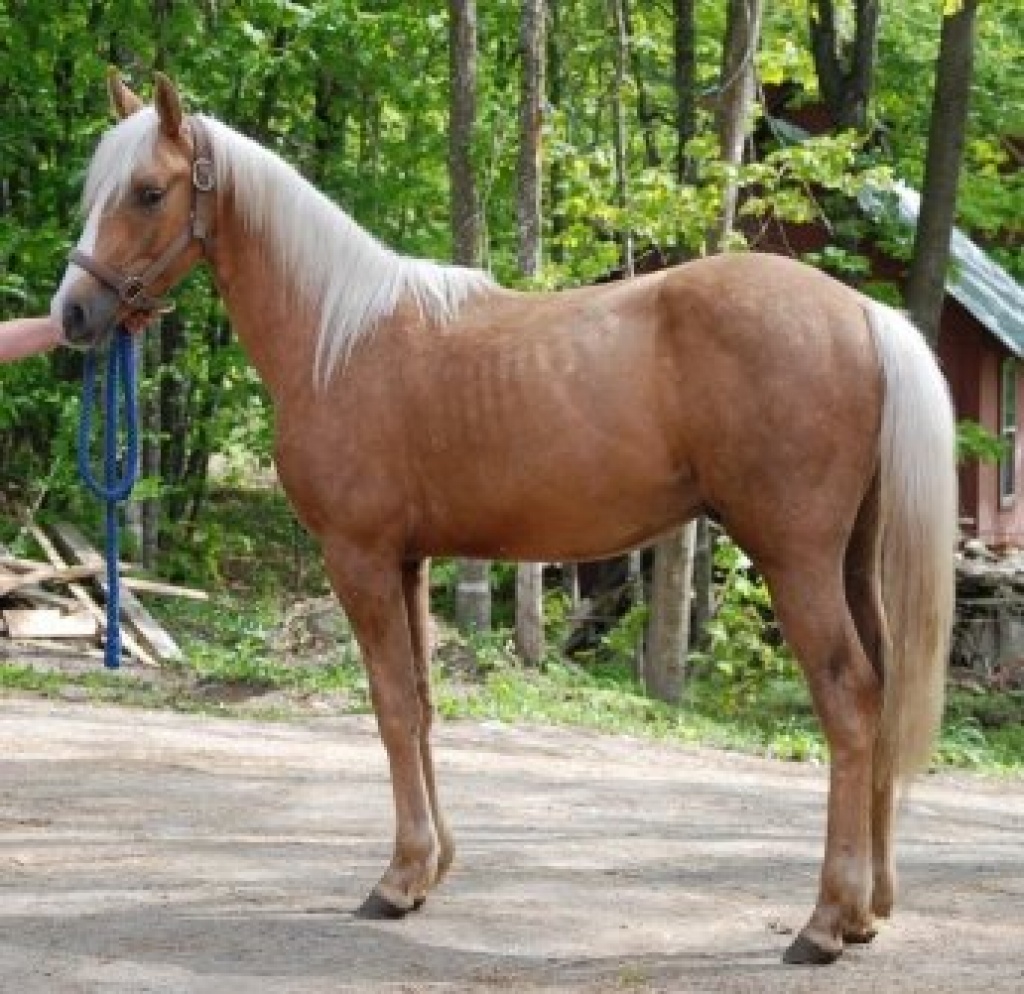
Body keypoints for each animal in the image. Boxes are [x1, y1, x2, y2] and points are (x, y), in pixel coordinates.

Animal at [52, 72, 957, 966]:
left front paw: (398, 879)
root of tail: (863, 316)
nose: (72, 315)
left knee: (849, 701)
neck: (338, 339)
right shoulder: (408, 561)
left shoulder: (359, 557)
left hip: (794, 558)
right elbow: (420, 703)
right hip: (853, 559)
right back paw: (869, 910)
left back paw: (826, 921)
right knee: (882, 693)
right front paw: (430, 869)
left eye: (149, 191)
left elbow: (391, 706)